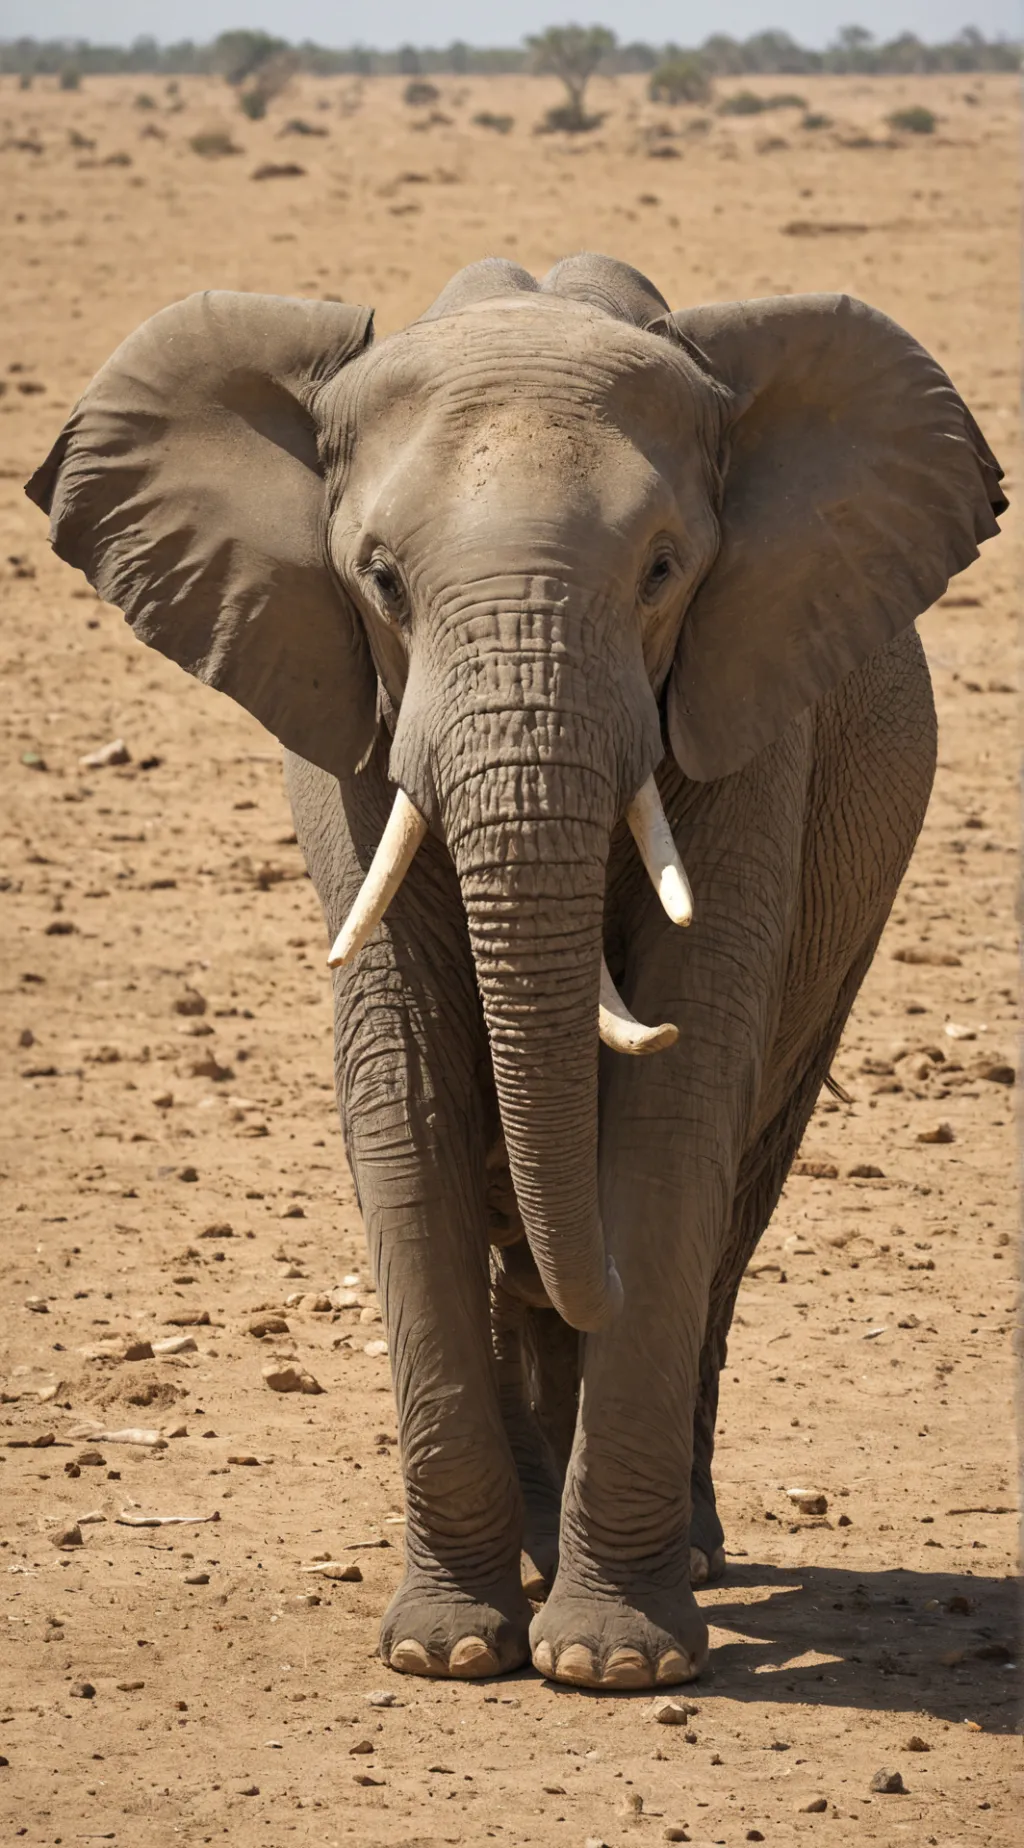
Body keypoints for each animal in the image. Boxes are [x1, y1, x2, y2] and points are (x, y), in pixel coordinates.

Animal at [27, 253, 1005, 1691]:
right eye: (379, 579)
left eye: (663, 570)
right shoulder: (343, 721)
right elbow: (408, 1101)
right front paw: (444, 1652)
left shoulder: (743, 706)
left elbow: (672, 1111)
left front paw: (613, 1663)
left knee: (735, 1188)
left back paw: (680, 1549)